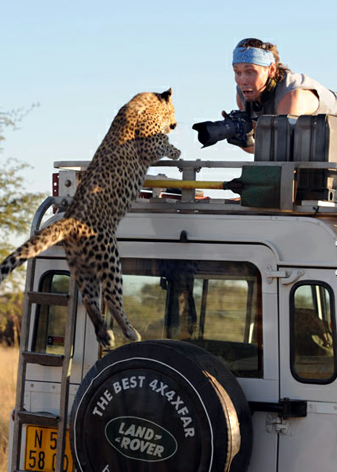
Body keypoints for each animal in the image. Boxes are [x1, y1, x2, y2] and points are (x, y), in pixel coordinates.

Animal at [0, 88, 181, 346]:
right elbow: (162, 143)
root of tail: (69, 220)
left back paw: (105, 335)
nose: (175, 124)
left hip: (81, 265)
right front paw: (176, 149)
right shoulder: (148, 144)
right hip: (109, 255)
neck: (144, 100)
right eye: (173, 111)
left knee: (88, 298)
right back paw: (130, 332)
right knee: (111, 295)